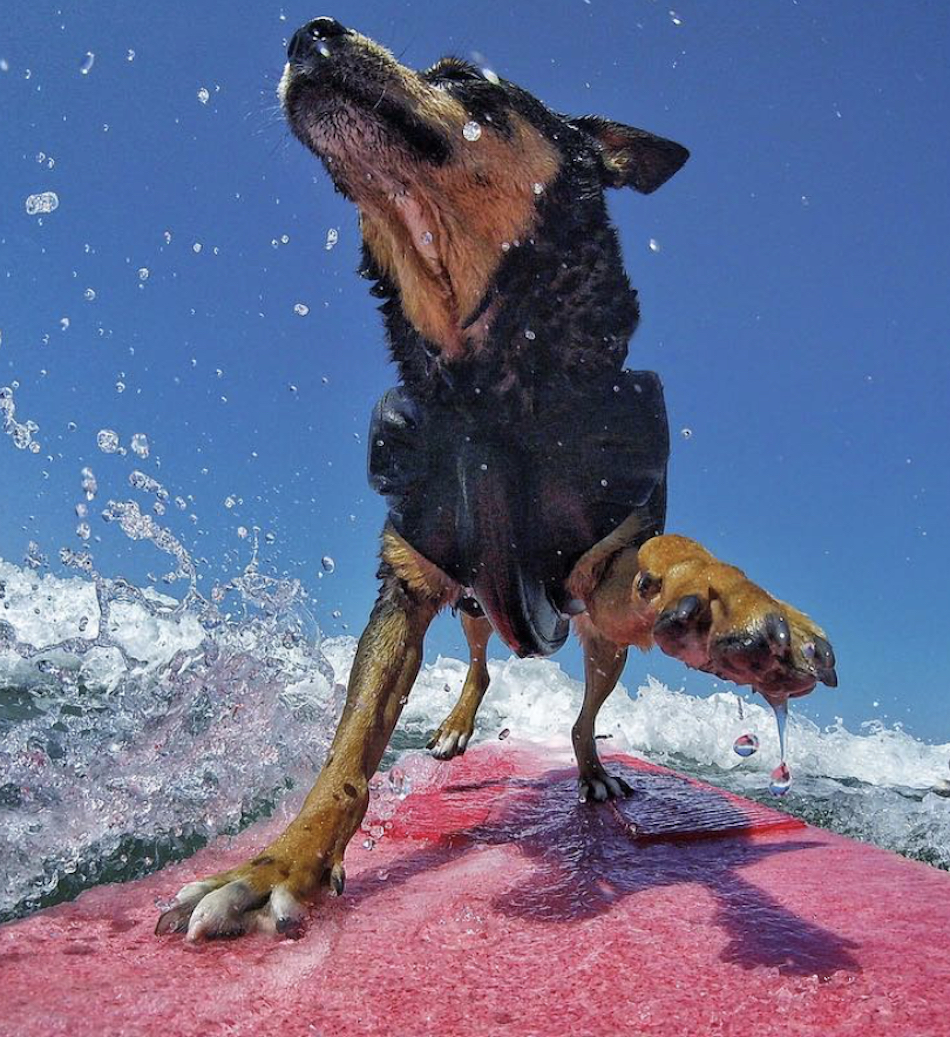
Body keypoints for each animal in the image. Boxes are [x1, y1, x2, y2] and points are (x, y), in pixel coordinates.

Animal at [159, 16, 833, 941]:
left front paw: (743, 610)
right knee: (479, 661)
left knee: (585, 715)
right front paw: (277, 866)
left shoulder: (599, 566)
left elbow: (675, 549)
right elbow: (349, 746)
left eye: (465, 78)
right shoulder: (405, 580)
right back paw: (451, 725)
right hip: (472, 603)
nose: (310, 34)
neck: (484, 386)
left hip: (601, 643)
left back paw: (592, 767)